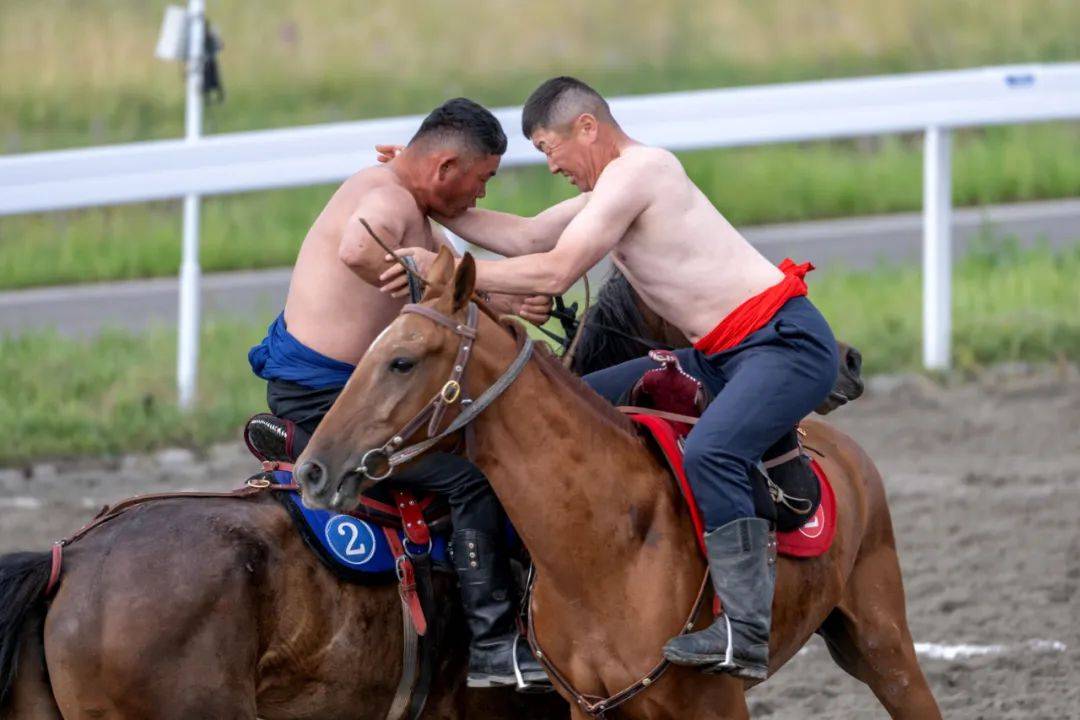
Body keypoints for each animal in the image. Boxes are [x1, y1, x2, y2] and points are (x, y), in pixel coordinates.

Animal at [300, 248, 941, 720]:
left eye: (402, 361)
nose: (314, 467)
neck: (606, 550)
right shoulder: (588, 710)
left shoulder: (714, 706)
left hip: (884, 644)